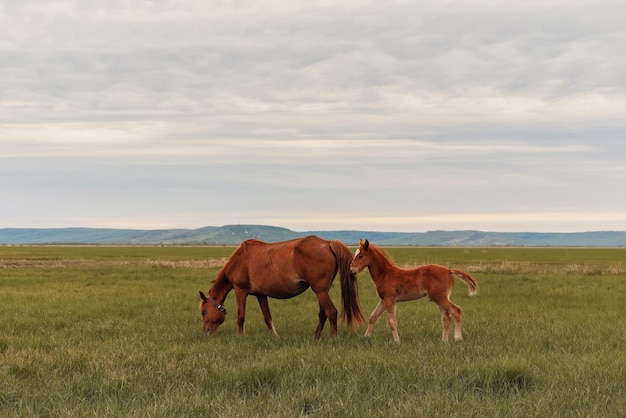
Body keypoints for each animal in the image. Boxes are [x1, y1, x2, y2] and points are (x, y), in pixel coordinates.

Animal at [200, 237, 364, 338]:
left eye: (203, 312)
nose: (204, 333)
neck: (240, 260)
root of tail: (328, 243)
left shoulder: (240, 291)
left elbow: (241, 317)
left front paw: (240, 336)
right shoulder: (261, 295)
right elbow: (267, 317)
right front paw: (274, 336)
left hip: (320, 291)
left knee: (331, 312)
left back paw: (333, 338)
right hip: (322, 291)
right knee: (323, 314)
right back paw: (316, 337)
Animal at [348, 238, 476, 342]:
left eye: (360, 256)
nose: (351, 270)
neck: (385, 274)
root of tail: (448, 270)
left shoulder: (390, 299)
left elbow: (392, 321)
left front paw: (397, 342)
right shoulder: (383, 300)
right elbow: (373, 317)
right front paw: (366, 337)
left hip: (439, 297)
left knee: (456, 310)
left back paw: (458, 338)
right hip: (440, 298)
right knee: (446, 318)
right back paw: (444, 341)